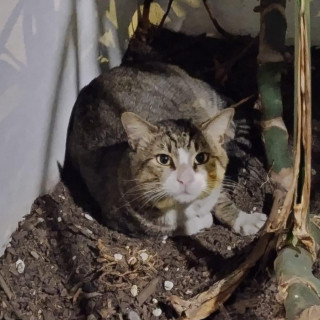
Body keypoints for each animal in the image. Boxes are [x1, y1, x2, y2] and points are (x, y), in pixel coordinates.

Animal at [63, 63, 266, 238]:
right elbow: (177, 227)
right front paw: (201, 220)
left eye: (201, 158)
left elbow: (220, 196)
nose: (185, 178)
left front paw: (244, 219)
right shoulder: (123, 219)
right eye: (163, 159)